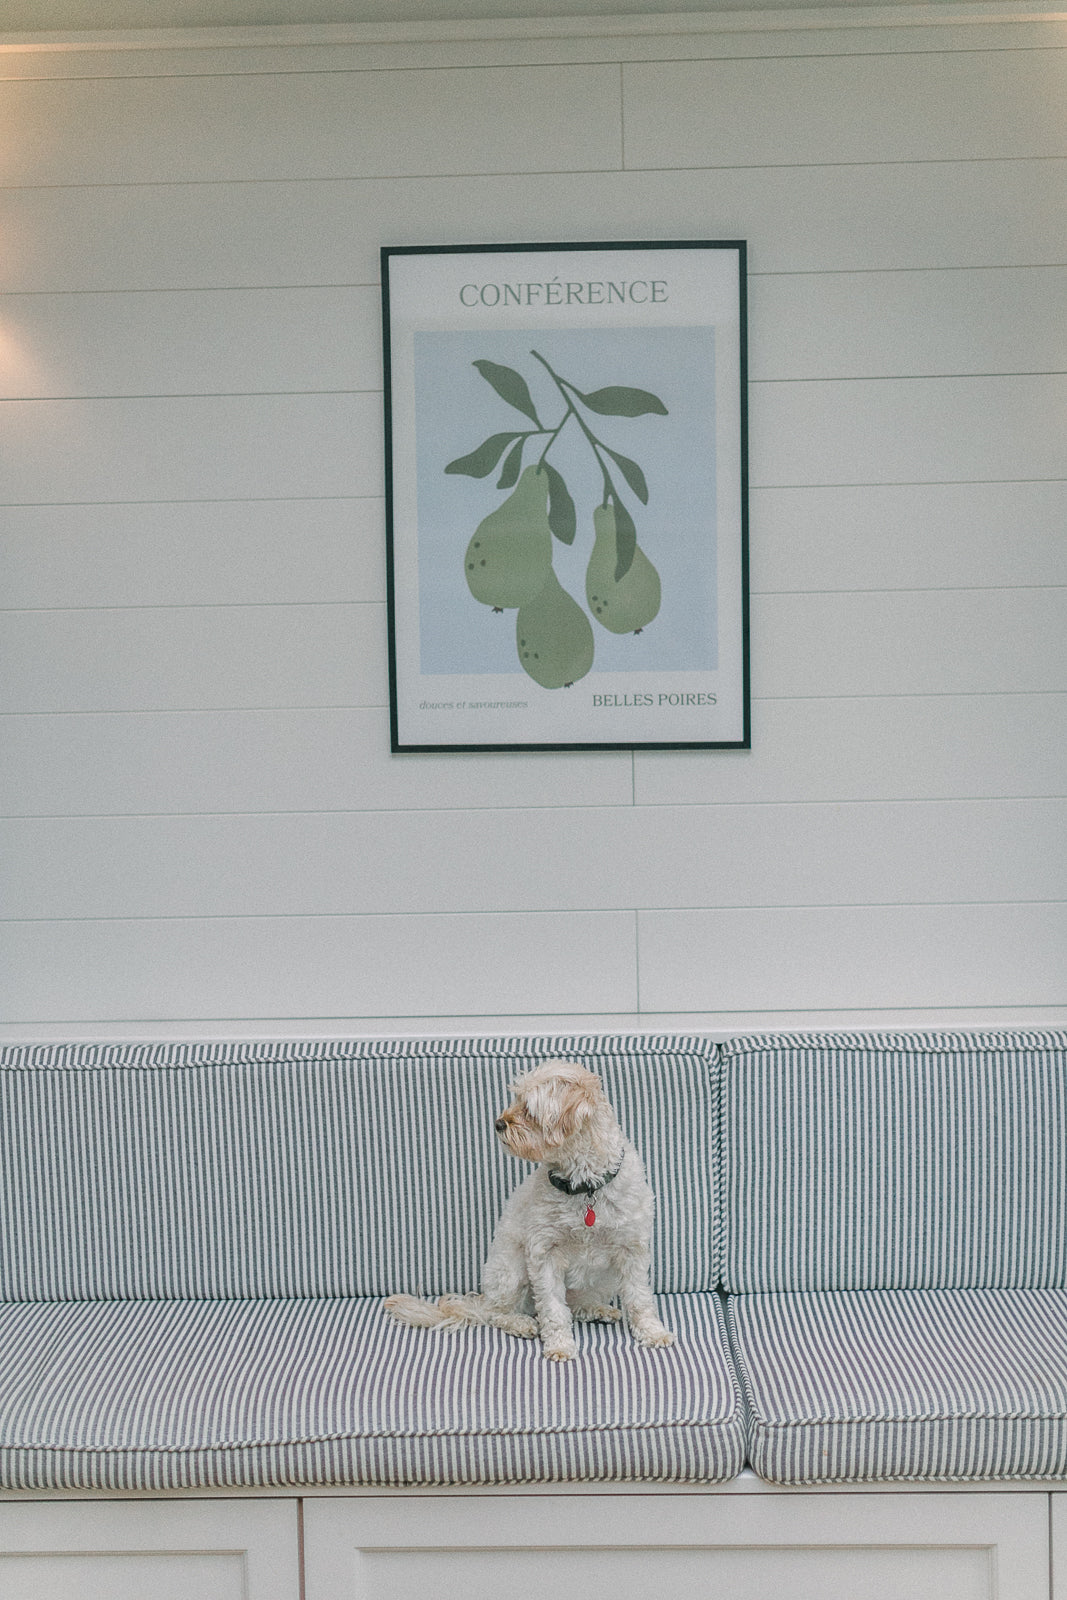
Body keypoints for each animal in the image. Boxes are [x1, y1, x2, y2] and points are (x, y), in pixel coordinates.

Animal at [379, 1056, 671, 1356]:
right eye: (515, 1099)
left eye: (529, 1110)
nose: (498, 1123)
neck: (584, 1186)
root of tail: (483, 1298)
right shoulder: (544, 1254)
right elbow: (552, 1308)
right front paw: (559, 1346)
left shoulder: (633, 1249)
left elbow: (640, 1299)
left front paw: (652, 1332)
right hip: (511, 1270)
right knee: (497, 1313)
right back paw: (521, 1323)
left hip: (603, 1279)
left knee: (575, 1304)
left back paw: (597, 1309)